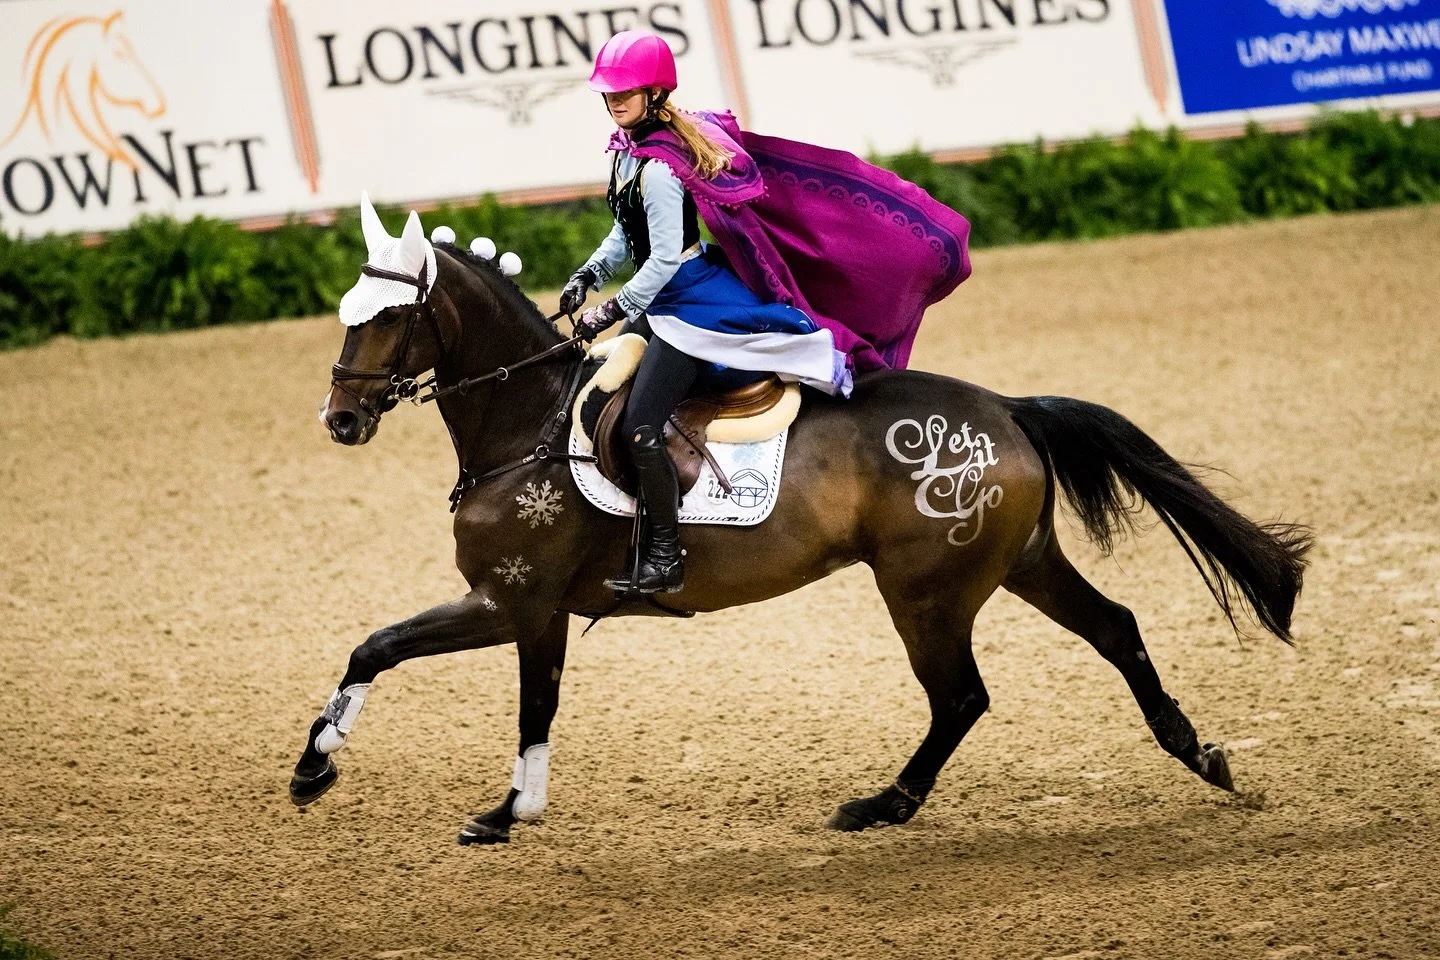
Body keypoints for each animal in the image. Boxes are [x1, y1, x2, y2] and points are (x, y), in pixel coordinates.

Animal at [292, 204, 1312, 845]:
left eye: (387, 319)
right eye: (344, 314)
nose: (338, 421)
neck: (528, 424)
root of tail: (1006, 411)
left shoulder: (515, 603)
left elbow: (423, 662)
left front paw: (356, 776)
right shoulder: (521, 610)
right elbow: (420, 666)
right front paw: (347, 773)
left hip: (926, 590)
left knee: (962, 697)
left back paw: (882, 806)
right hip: (1019, 562)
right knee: (1115, 629)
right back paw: (1202, 756)